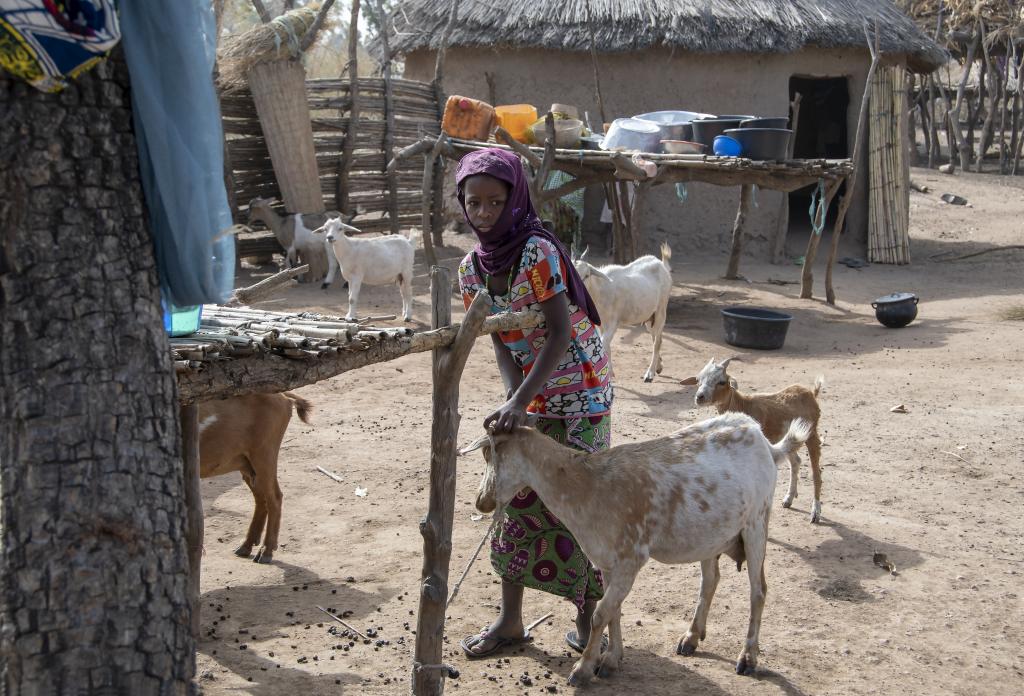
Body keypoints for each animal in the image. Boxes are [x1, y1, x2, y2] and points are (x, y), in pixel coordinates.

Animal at [198, 390, 311, 560]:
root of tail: (283, 396)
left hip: (265, 453)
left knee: (274, 497)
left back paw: (266, 551)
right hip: (246, 463)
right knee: (261, 499)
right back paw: (246, 546)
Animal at [462, 411, 806, 683]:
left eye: (489, 454)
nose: (481, 501)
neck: (586, 485)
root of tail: (765, 441)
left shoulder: (631, 557)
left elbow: (600, 614)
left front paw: (583, 670)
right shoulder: (607, 560)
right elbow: (613, 611)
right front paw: (611, 660)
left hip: (757, 522)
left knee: (758, 590)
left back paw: (747, 658)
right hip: (711, 535)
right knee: (710, 581)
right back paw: (691, 638)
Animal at [573, 243, 675, 380]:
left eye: (587, 275)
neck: (600, 290)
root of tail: (662, 266)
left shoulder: (613, 323)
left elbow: (604, 344)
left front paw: (609, 373)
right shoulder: (601, 324)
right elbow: (606, 346)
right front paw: (610, 372)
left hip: (661, 311)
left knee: (657, 342)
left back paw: (650, 373)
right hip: (650, 318)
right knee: (655, 337)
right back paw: (658, 367)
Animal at [679, 358, 823, 522]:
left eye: (721, 382)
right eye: (698, 380)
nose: (700, 397)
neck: (743, 404)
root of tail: (811, 393)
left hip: (812, 434)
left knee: (816, 473)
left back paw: (815, 512)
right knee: (796, 461)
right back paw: (788, 499)